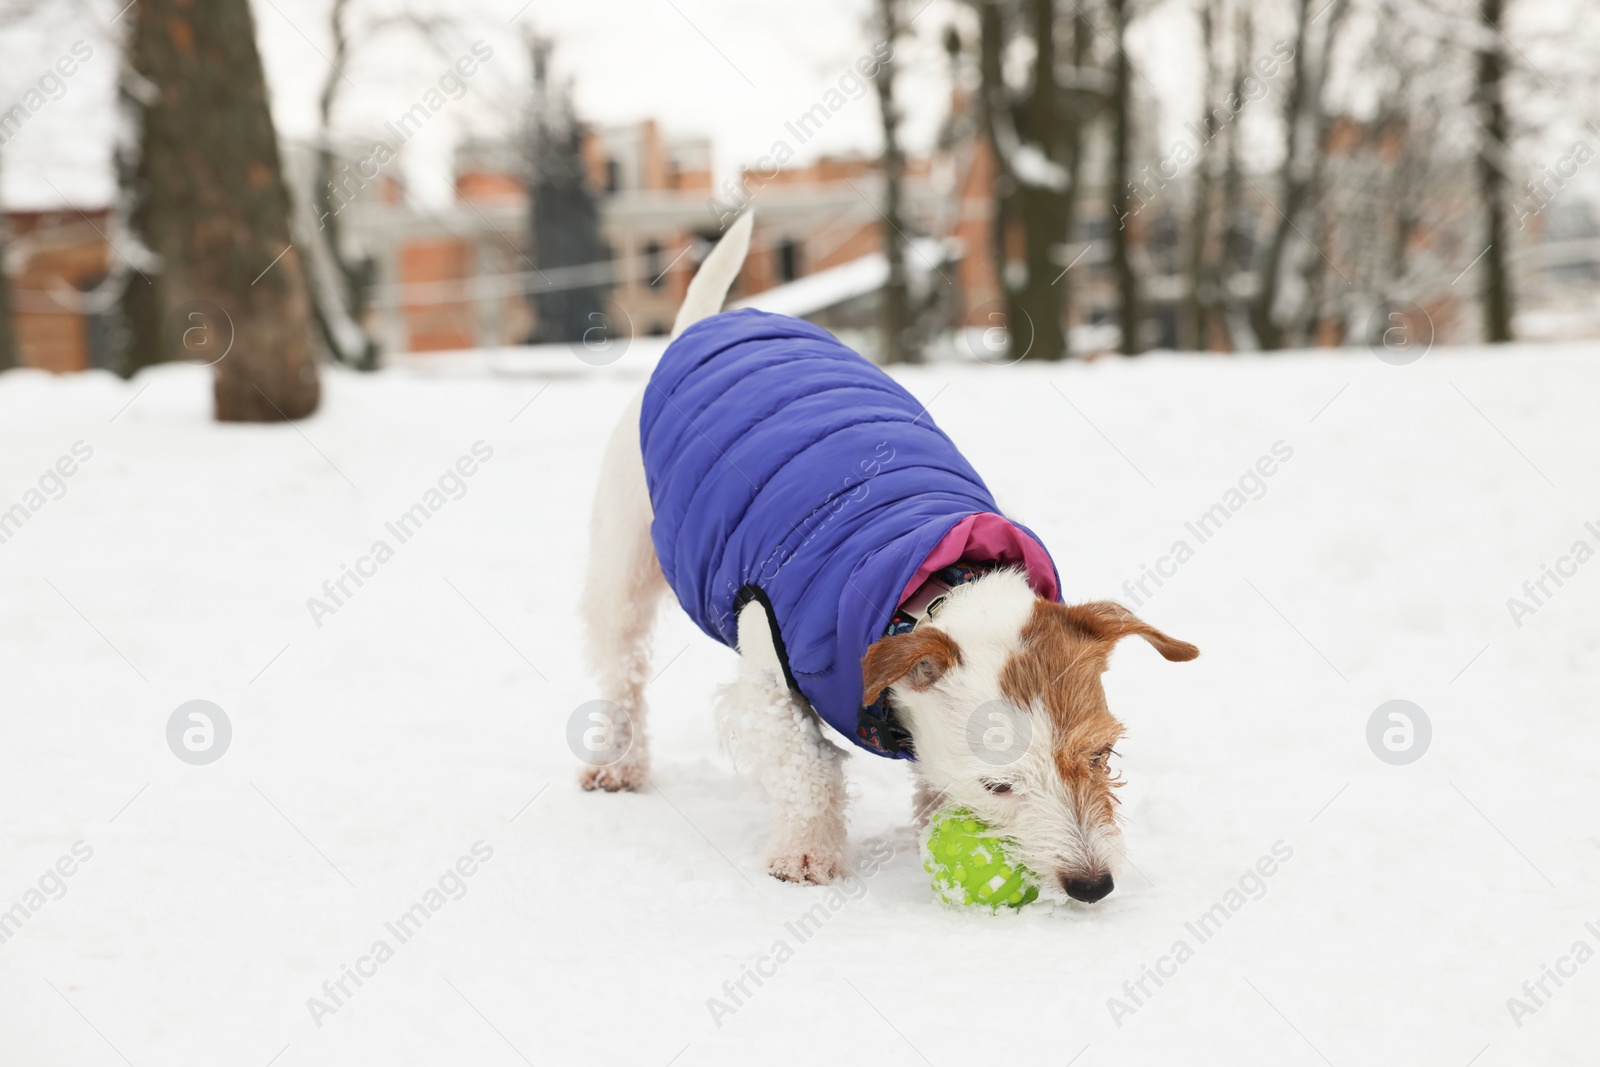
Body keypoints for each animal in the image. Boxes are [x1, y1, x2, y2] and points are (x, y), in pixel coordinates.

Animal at [582, 214, 1196, 902]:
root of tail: (703, 325)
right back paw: (619, 764)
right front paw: (806, 854)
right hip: (621, 562)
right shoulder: (769, 685)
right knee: (622, 666)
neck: (931, 588)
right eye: (998, 786)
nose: (1093, 885)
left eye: (1100, 755)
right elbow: (809, 769)